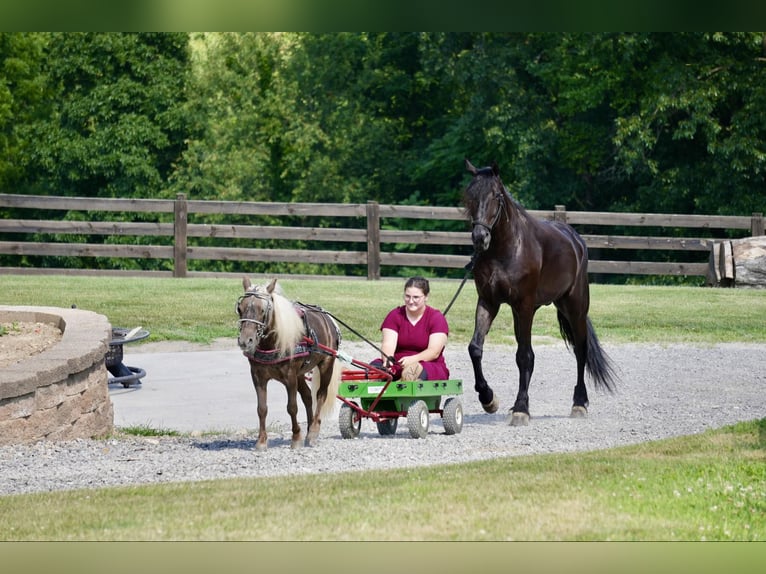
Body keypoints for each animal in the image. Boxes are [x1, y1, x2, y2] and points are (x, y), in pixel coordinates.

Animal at [236, 277, 341, 450]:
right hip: (300, 374)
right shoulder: (258, 376)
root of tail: (328, 318)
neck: (272, 343)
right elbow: (261, 408)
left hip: (326, 364)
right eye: (240, 308)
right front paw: (261, 441)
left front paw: (296, 438)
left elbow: (292, 407)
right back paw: (309, 428)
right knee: (307, 396)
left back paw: (313, 431)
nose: (246, 341)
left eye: (263, 310)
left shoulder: (290, 376)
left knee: (320, 395)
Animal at [462, 159, 617, 426]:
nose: (480, 238)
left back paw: (579, 403)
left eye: (495, 196)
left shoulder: (525, 306)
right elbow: (476, 348)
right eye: (470, 196)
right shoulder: (489, 302)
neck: (506, 248)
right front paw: (488, 398)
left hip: (574, 307)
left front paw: (522, 409)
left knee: (580, 351)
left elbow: (524, 356)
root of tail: (576, 240)